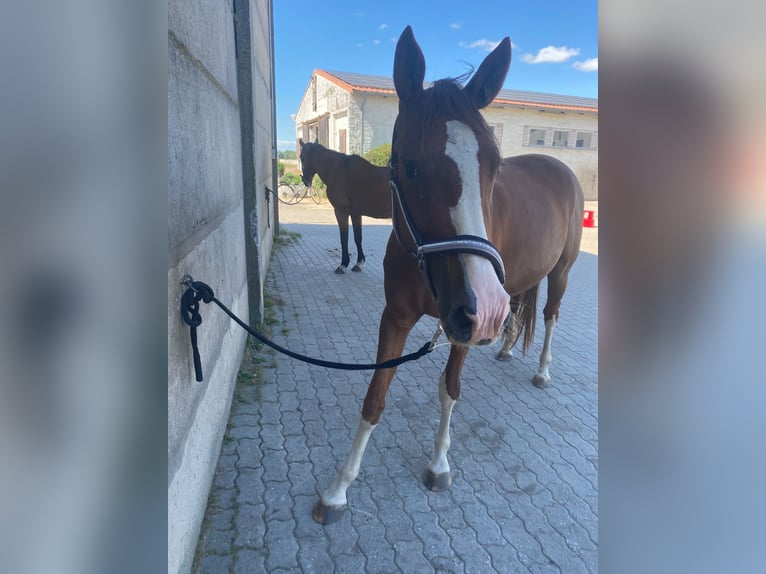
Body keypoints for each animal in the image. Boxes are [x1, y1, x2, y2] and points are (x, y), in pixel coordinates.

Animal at [298, 139, 391, 273]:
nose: (306, 180)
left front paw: (343, 265)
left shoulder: (341, 211)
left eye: (301, 156)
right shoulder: (356, 213)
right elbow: (358, 238)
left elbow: (344, 238)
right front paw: (359, 263)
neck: (337, 169)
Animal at [312, 26, 584, 524]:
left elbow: (449, 388)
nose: (485, 309)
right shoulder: (398, 317)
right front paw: (337, 489)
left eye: (495, 165)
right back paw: (507, 349)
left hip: (560, 273)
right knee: (521, 309)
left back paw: (542, 370)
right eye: (410, 165)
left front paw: (439, 463)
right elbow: (374, 398)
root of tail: (559, 166)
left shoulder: (464, 324)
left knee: (550, 315)